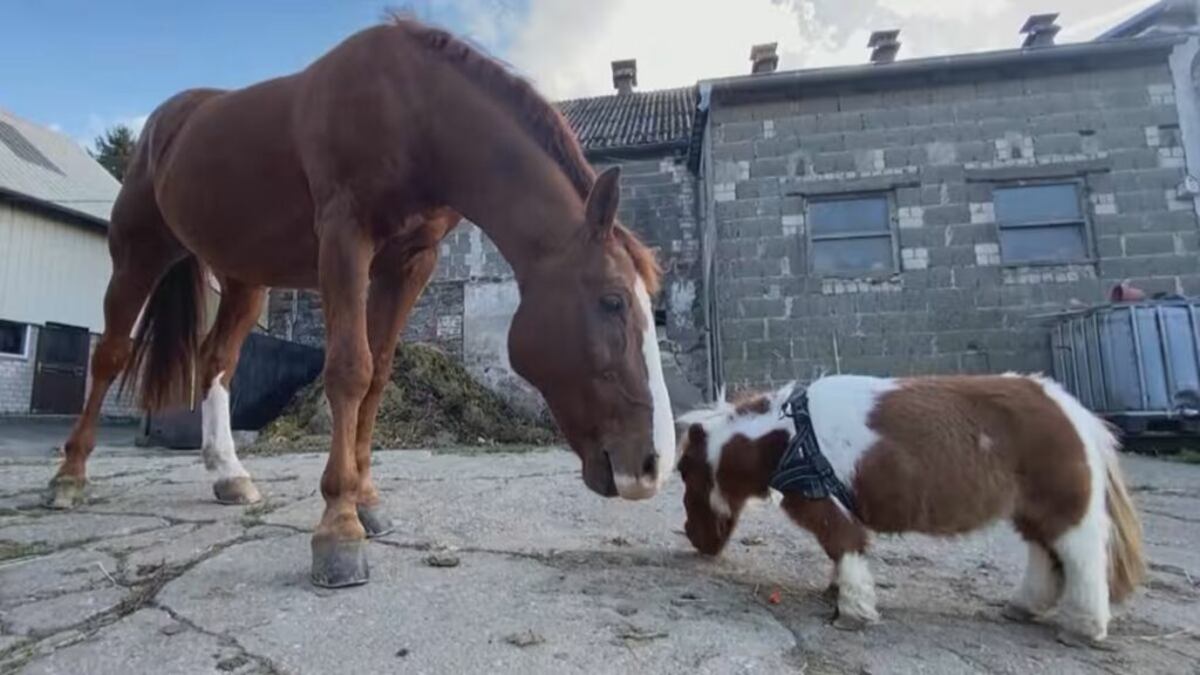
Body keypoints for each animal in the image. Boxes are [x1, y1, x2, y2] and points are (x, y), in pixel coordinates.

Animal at [46, 15, 676, 588]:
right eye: (613, 302)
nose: (651, 466)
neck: (415, 110)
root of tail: (167, 121)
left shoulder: (408, 263)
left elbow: (379, 375)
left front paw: (367, 500)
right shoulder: (345, 238)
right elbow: (350, 369)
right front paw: (338, 528)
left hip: (245, 280)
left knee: (216, 359)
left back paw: (228, 474)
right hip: (138, 253)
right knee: (111, 354)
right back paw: (69, 477)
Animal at [675, 374, 1145, 647]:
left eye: (683, 472)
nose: (694, 539)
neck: (790, 437)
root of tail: (1069, 408)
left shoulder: (825, 508)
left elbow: (845, 549)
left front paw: (853, 612)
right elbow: (840, 555)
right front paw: (836, 592)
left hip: (1064, 508)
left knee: (1083, 558)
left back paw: (1083, 628)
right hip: (1031, 511)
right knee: (1045, 556)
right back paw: (1023, 607)